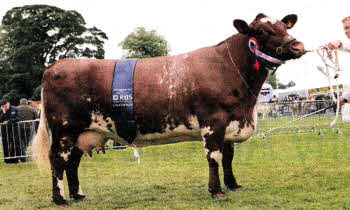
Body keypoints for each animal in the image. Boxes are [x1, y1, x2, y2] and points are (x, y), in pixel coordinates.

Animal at [32, 13, 306, 206]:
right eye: (262, 31)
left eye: (284, 27)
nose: (297, 47)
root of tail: (54, 67)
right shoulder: (213, 122)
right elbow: (214, 158)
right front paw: (216, 191)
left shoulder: (231, 123)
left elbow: (228, 157)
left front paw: (233, 185)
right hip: (64, 131)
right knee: (58, 161)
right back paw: (60, 199)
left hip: (83, 133)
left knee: (72, 163)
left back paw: (79, 195)